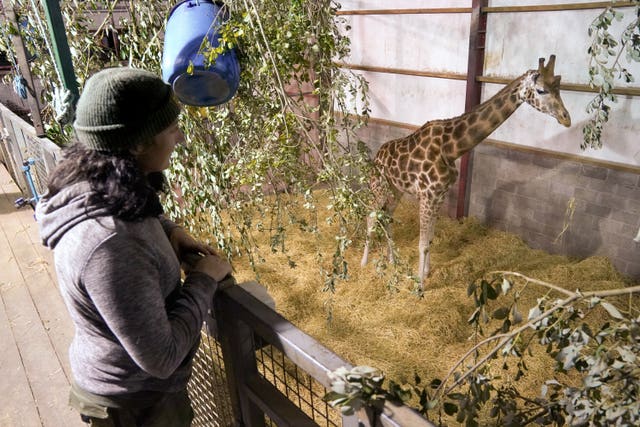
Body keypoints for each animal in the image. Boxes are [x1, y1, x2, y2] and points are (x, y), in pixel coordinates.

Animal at [362, 55, 572, 290]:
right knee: (371, 216)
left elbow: (430, 239)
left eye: (559, 88)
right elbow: (422, 243)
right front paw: (420, 286)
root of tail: (376, 157)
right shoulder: (427, 195)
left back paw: (392, 260)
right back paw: (363, 263)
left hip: (395, 190)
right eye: (541, 90)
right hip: (379, 187)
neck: (451, 149)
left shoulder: (439, 196)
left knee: (386, 217)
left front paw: (426, 273)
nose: (566, 118)